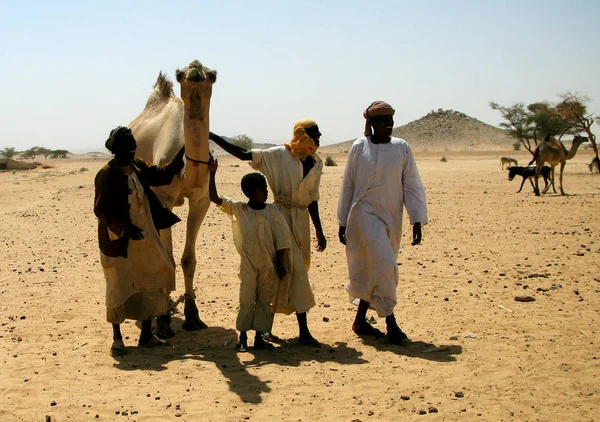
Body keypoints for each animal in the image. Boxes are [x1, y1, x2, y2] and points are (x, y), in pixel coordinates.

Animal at [127, 60, 217, 336]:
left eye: (213, 75)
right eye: (180, 74)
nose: (195, 67)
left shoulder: (201, 200)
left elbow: (188, 260)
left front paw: (193, 316)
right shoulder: (164, 199)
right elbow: (167, 259)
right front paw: (164, 320)